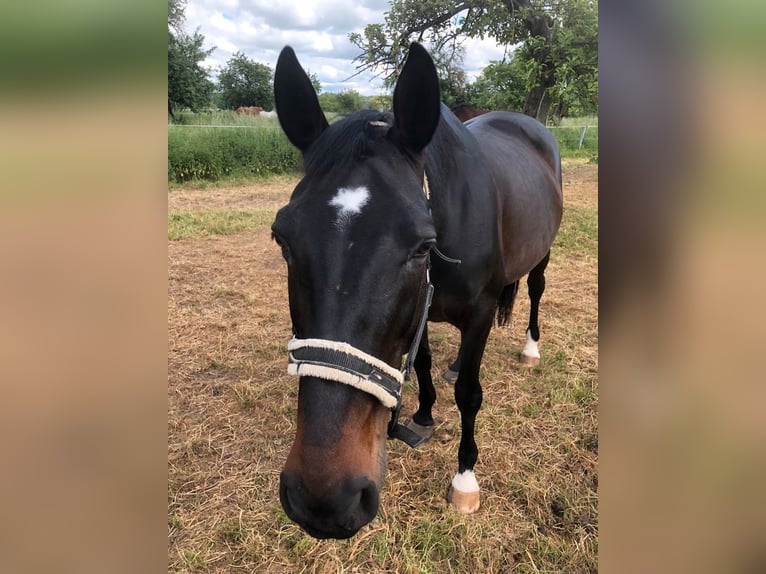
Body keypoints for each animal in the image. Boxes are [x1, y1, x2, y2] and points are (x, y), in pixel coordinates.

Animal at [272, 44, 564, 540]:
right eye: (282, 238)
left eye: (423, 245)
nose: (324, 498)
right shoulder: (420, 308)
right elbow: (422, 359)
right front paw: (425, 413)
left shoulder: (480, 312)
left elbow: (470, 393)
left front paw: (465, 479)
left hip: (541, 255)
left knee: (536, 290)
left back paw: (530, 349)